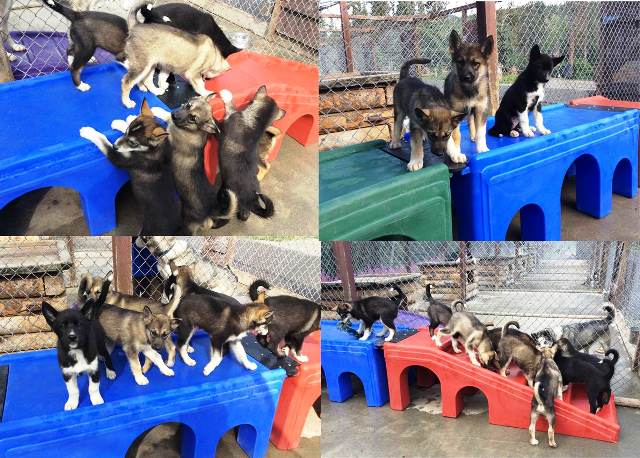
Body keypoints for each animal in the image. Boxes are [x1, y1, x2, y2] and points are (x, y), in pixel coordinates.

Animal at [41, 280, 114, 412]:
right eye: (62, 326)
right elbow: (73, 390)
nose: (72, 337)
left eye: (79, 324)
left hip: (100, 344)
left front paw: (96, 400)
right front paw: (72, 403)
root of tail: (92, 314)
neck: (77, 351)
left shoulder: (93, 370)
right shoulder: (67, 373)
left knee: (106, 356)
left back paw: (111, 371)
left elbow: (93, 388)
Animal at [79, 100, 181, 236]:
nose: (115, 146)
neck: (154, 149)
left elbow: (104, 143)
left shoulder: (120, 159)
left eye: (133, 143)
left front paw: (89, 132)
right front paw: (123, 121)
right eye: (127, 132)